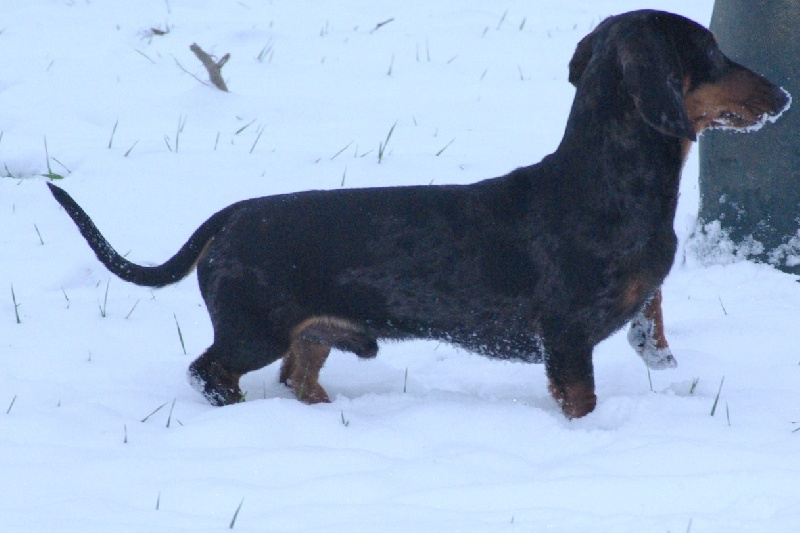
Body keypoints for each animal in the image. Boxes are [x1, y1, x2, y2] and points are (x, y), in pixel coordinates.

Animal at [48, 8, 788, 416]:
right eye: (714, 52)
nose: (783, 95)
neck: (603, 183)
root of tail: (229, 215)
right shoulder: (567, 338)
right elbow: (580, 401)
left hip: (307, 334)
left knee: (298, 375)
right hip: (254, 328)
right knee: (211, 372)